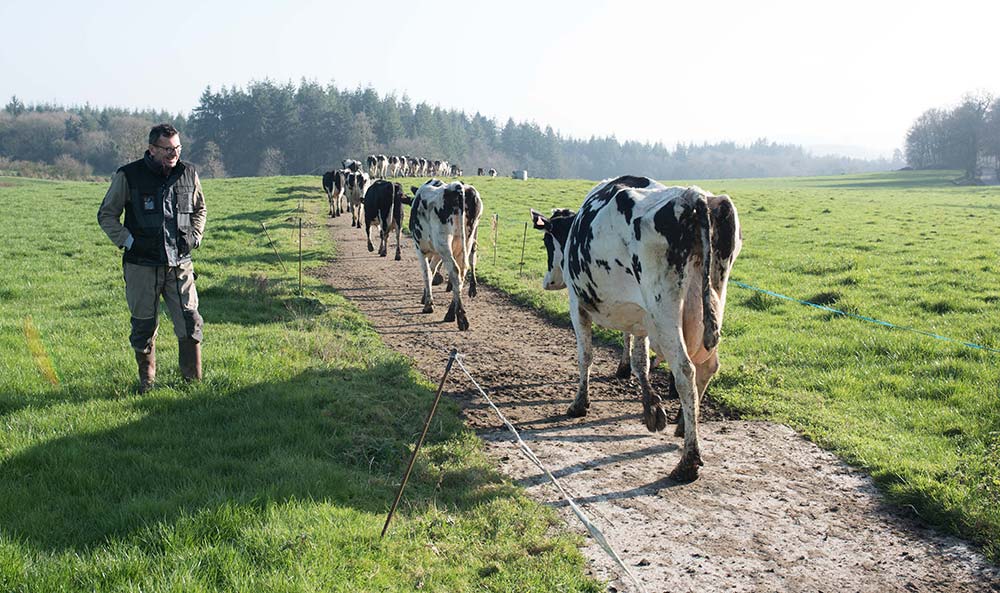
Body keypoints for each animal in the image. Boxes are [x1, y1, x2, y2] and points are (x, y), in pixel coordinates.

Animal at [406, 178, 484, 330]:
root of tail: (458, 186)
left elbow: (427, 273)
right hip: (466, 241)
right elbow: (432, 270)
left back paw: (461, 318)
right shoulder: (437, 252)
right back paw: (451, 313)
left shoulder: (420, 248)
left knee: (455, 271)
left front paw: (428, 304)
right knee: (462, 272)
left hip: (444, 244)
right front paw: (425, 296)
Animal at [532, 175, 744, 480]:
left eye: (547, 241)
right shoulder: (641, 315)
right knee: (707, 366)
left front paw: (579, 404)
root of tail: (693, 196)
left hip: (664, 308)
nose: (548, 282)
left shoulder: (577, 303)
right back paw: (684, 426)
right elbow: (639, 360)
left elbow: (586, 356)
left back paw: (688, 461)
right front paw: (651, 406)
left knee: (685, 371)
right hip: (711, 298)